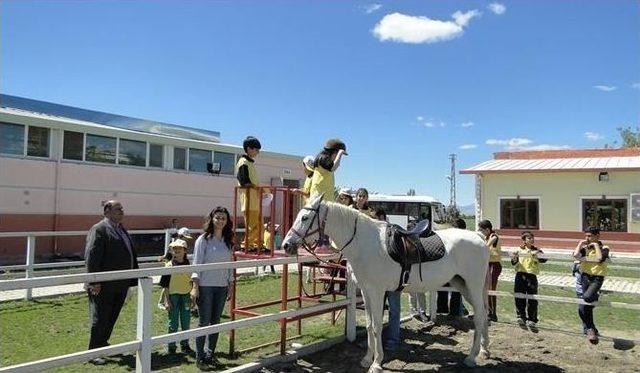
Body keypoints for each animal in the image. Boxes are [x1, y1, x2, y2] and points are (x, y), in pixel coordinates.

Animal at [282, 193, 488, 370]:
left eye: (305, 218)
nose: (286, 245)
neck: (364, 243)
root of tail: (478, 237)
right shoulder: (366, 292)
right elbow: (368, 325)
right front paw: (367, 359)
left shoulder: (377, 292)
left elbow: (377, 326)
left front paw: (376, 363)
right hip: (462, 285)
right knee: (484, 315)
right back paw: (484, 351)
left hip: (473, 286)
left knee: (479, 317)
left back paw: (471, 358)